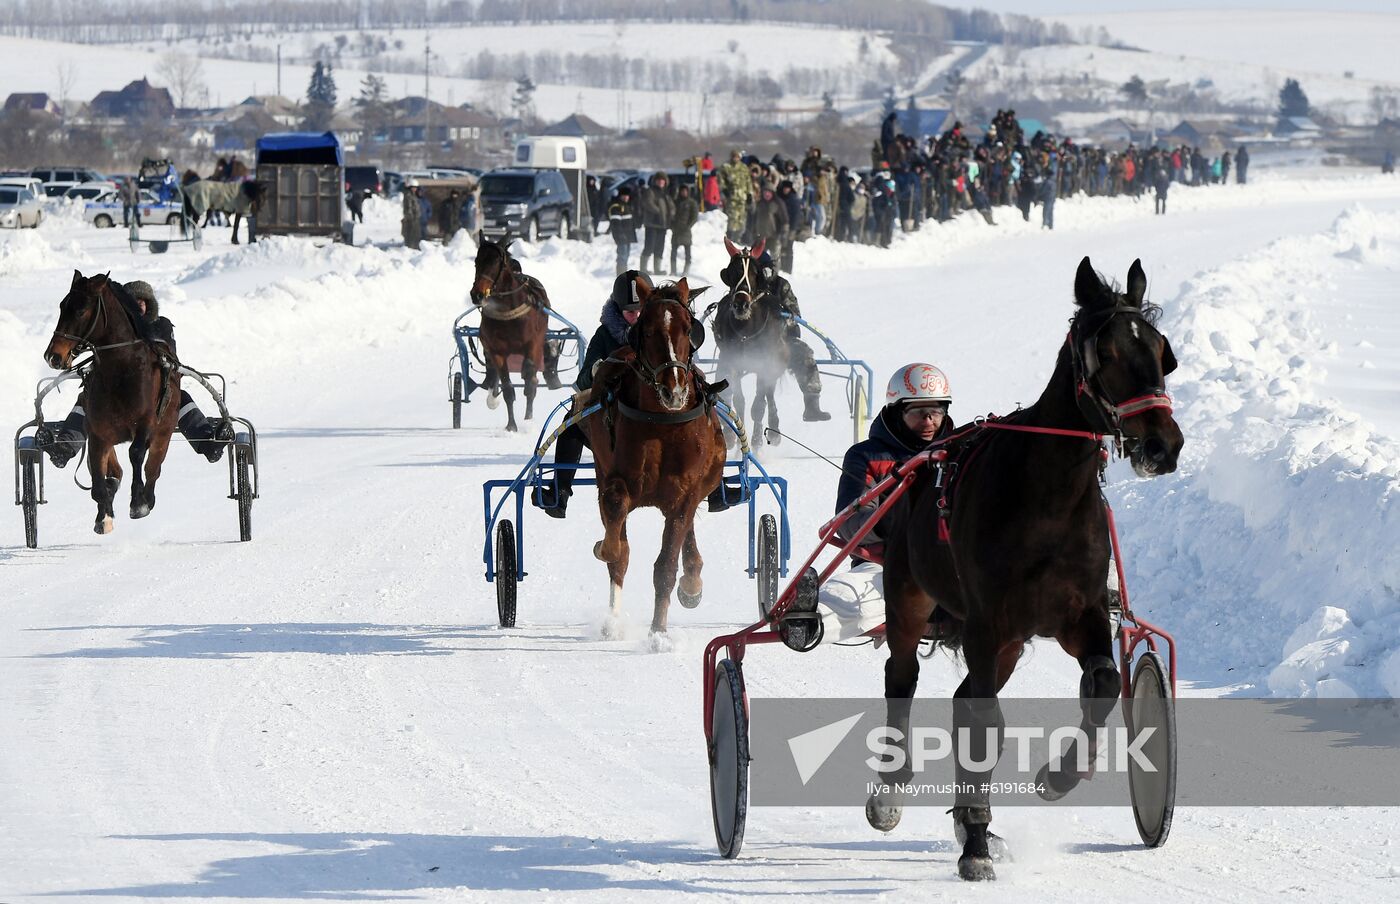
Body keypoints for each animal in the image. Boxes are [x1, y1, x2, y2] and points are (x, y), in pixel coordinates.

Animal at [42, 271, 182, 535]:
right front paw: (103, 516)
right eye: (62, 306)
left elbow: (136, 453)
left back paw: (147, 497)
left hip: (165, 430)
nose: (53, 356)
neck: (121, 370)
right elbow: (98, 478)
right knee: (114, 473)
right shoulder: (98, 433)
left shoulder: (146, 422)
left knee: (153, 468)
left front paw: (138, 503)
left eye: (81, 310)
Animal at [468, 239, 560, 432]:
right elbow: (507, 388)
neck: (507, 313)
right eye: (476, 262)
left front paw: (527, 420)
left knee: (531, 378)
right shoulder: (496, 350)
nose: (477, 294)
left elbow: (530, 379)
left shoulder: (533, 343)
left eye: (496, 262)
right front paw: (511, 426)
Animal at [581, 278, 724, 646]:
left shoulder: (684, 492)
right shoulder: (615, 479)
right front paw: (604, 548)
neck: (663, 420)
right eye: (646, 331)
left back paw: (692, 580)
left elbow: (667, 565)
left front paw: (658, 633)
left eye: (690, 328)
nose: (674, 390)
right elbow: (617, 544)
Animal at [710, 237, 788, 446]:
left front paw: (756, 441)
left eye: (754, 273)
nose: (741, 304)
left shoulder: (764, 363)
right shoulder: (733, 362)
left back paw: (773, 430)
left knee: (769, 394)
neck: (746, 329)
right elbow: (739, 401)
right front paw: (734, 436)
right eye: (732, 272)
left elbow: (759, 405)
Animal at [868, 257, 1183, 881]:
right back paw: (895, 794)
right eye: (1106, 352)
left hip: (1012, 642)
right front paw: (974, 845)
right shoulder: (987, 620)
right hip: (910, 596)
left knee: (963, 696)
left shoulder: (1081, 612)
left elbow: (1103, 684)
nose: (1164, 446)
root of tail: (917, 467)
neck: (1047, 499)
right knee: (902, 676)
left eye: (1163, 352)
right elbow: (987, 722)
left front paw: (1057, 777)